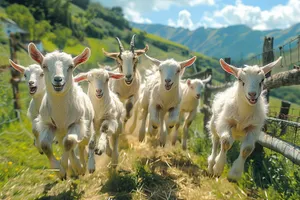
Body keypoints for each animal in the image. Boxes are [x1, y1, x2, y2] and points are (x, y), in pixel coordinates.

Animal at [28, 43, 94, 178]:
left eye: (71, 66)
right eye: (44, 66)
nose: (58, 80)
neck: (61, 114)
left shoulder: (77, 122)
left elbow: (69, 142)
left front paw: (70, 166)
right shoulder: (48, 124)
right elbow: (45, 145)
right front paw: (59, 170)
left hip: (86, 129)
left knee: (81, 146)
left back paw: (82, 166)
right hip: (60, 132)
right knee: (69, 146)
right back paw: (74, 167)